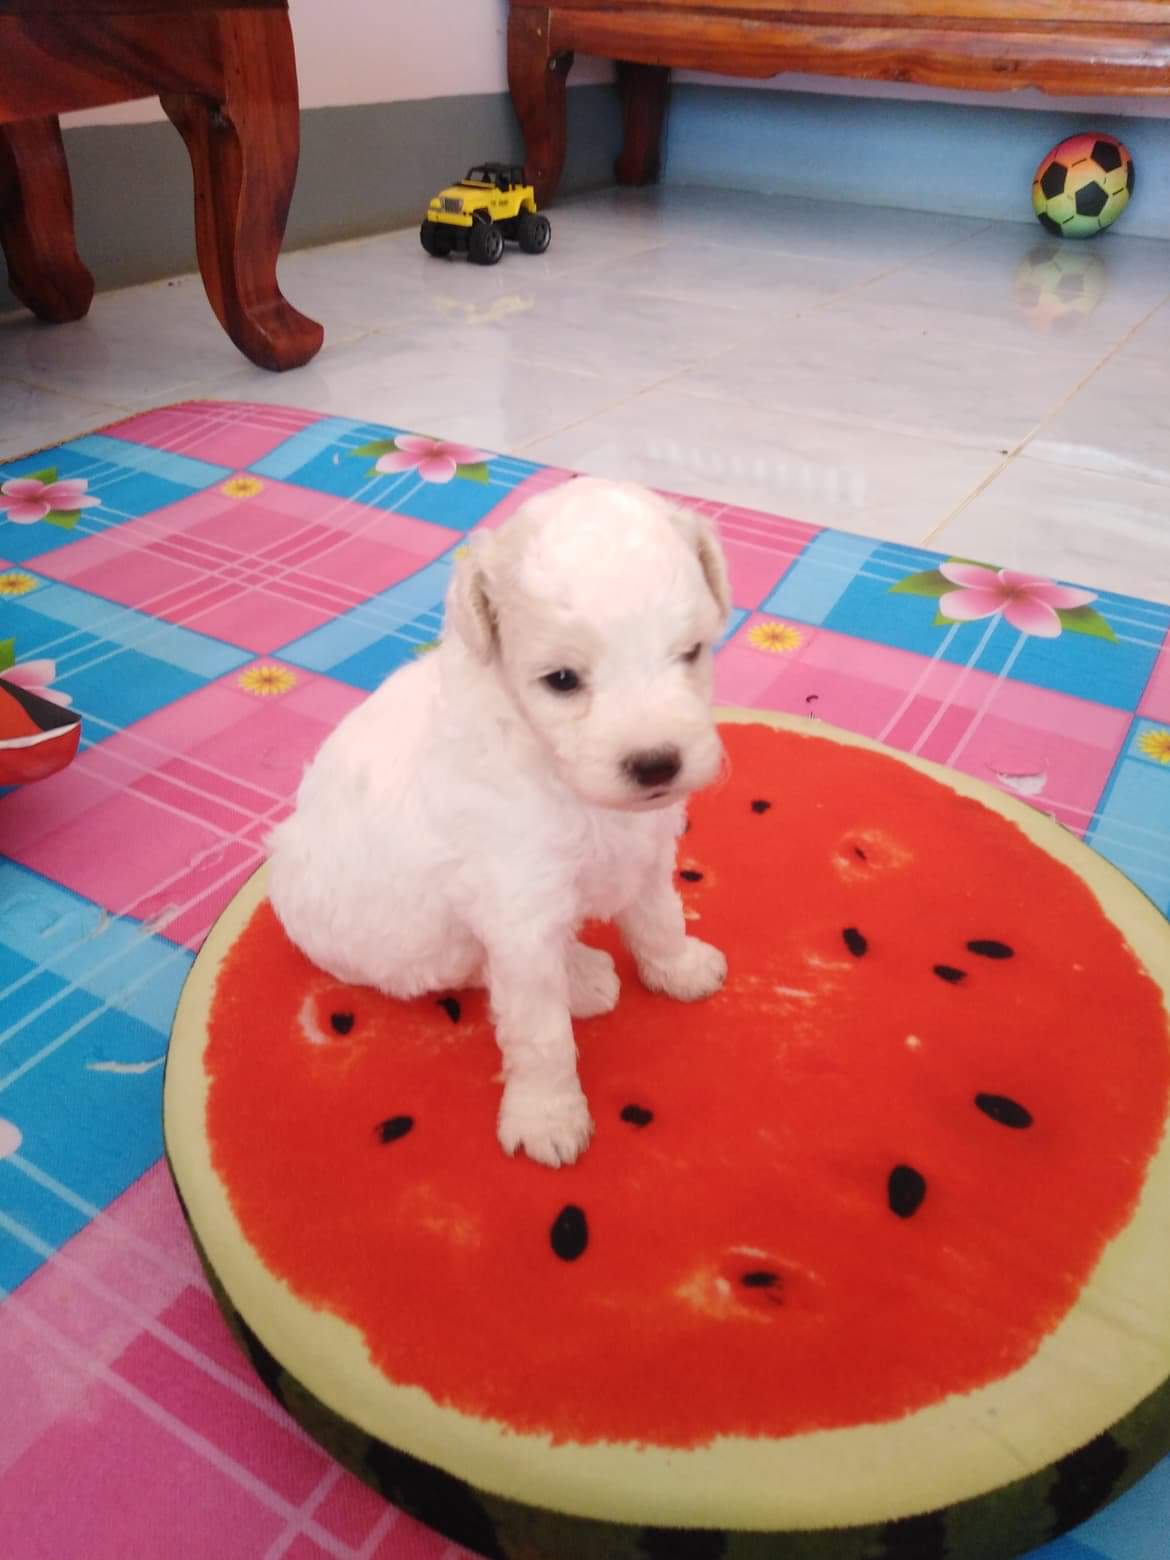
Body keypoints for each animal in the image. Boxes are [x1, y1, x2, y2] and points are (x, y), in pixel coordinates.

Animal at [267, 476, 730, 1167]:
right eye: (561, 680)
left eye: (691, 652)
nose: (656, 764)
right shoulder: (520, 909)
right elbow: (539, 1032)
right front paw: (547, 1117)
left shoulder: (645, 851)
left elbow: (658, 918)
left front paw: (679, 969)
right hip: (414, 951)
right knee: (478, 973)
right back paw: (581, 981)